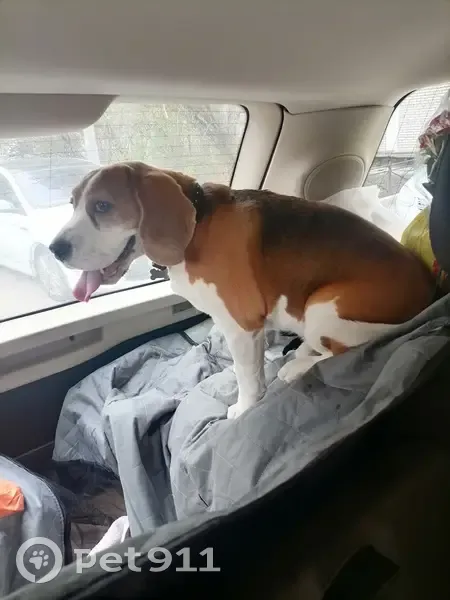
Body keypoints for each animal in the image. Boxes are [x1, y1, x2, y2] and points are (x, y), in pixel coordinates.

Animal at [49, 161, 436, 419]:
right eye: (72, 204)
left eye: (103, 206)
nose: (55, 249)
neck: (198, 222)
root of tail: (431, 291)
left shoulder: (242, 325)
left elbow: (246, 375)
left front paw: (245, 407)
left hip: (322, 307)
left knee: (352, 350)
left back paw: (298, 367)